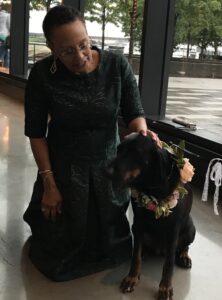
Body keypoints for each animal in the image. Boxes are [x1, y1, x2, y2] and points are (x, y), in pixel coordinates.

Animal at [106, 133, 195, 300]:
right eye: (119, 150)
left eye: (135, 152)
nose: (105, 171)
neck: (153, 189)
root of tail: (160, 250)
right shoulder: (139, 224)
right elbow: (135, 257)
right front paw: (132, 278)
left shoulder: (173, 230)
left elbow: (168, 264)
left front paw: (165, 287)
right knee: (140, 248)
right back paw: (144, 252)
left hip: (191, 229)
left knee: (183, 247)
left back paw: (184, 256)